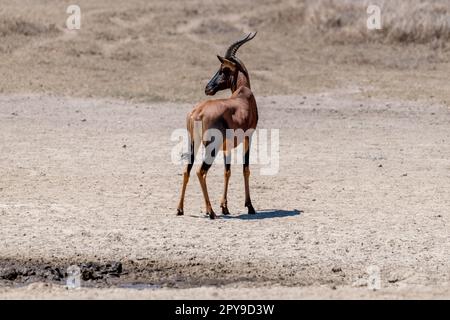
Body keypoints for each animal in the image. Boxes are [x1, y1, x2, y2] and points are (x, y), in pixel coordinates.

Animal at [178, 32, 258, 220]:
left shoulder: (227, 146)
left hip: (193, 143)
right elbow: (245, 168)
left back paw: (180, 209)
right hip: (211, 146)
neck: (244, 95)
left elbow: (227, 171)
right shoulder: (248, 137)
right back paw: (211, 211)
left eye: (223, 69)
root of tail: (198, 111)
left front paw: (225, 207)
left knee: (187, 170)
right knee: (201, 171)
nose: (208, 88)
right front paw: (250, 206)